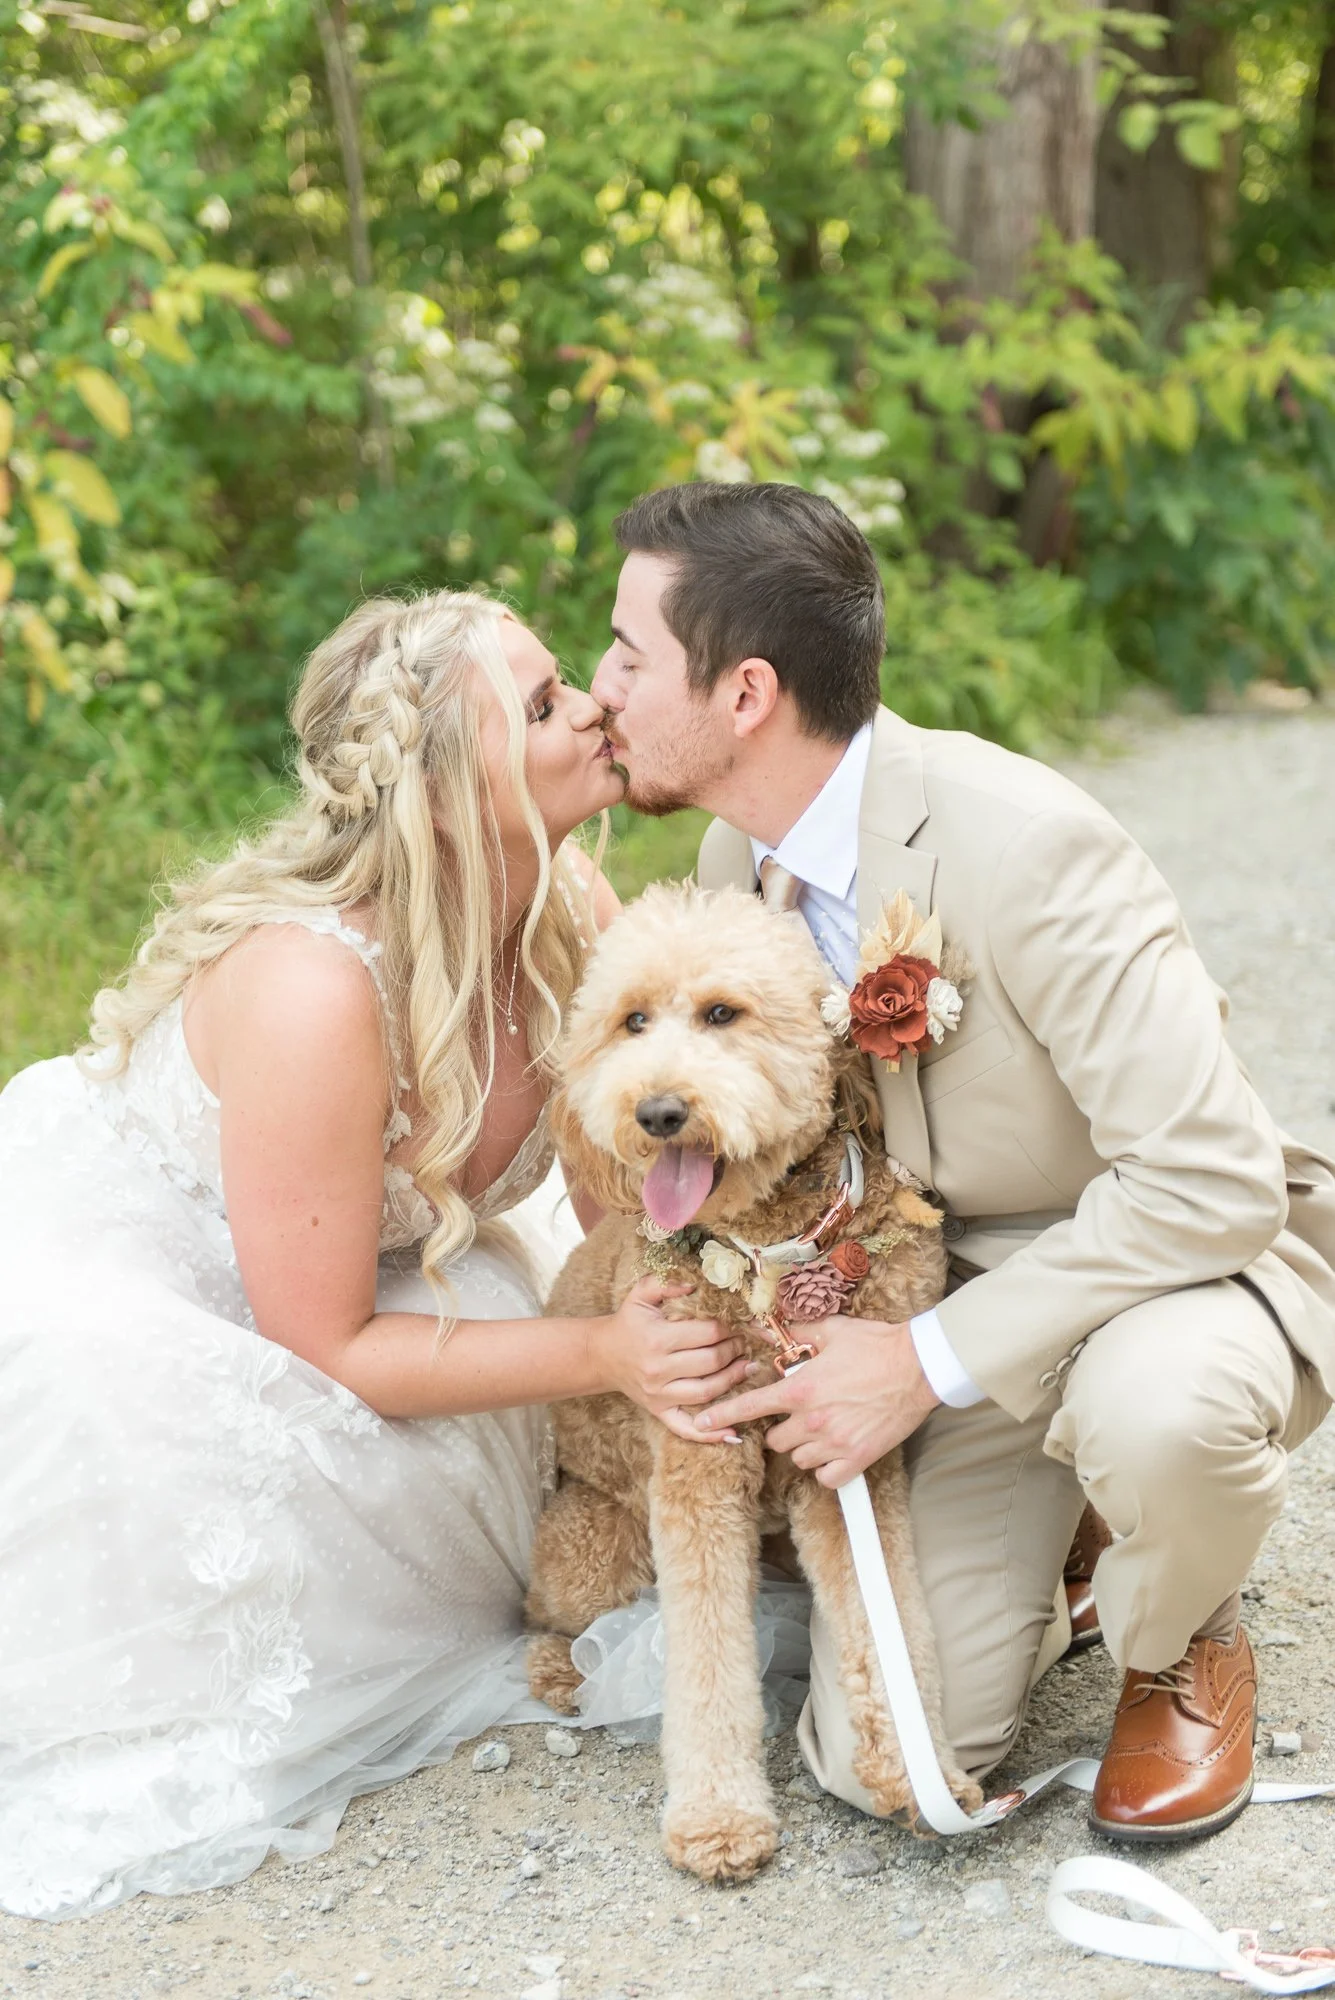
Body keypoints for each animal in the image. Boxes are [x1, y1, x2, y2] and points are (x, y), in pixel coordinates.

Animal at [526, 882, 981, 1881]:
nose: (657, 1111)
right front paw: (717, 1819)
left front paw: (922, 1773)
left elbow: (890, 1621)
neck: (767, 1257)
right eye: (632, 1021)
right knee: (545, 1615)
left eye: (722, 1014)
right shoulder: (698, 1464)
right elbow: (705, 1654)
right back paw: (561, 1670)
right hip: (591, 1550)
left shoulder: (851, 1454)